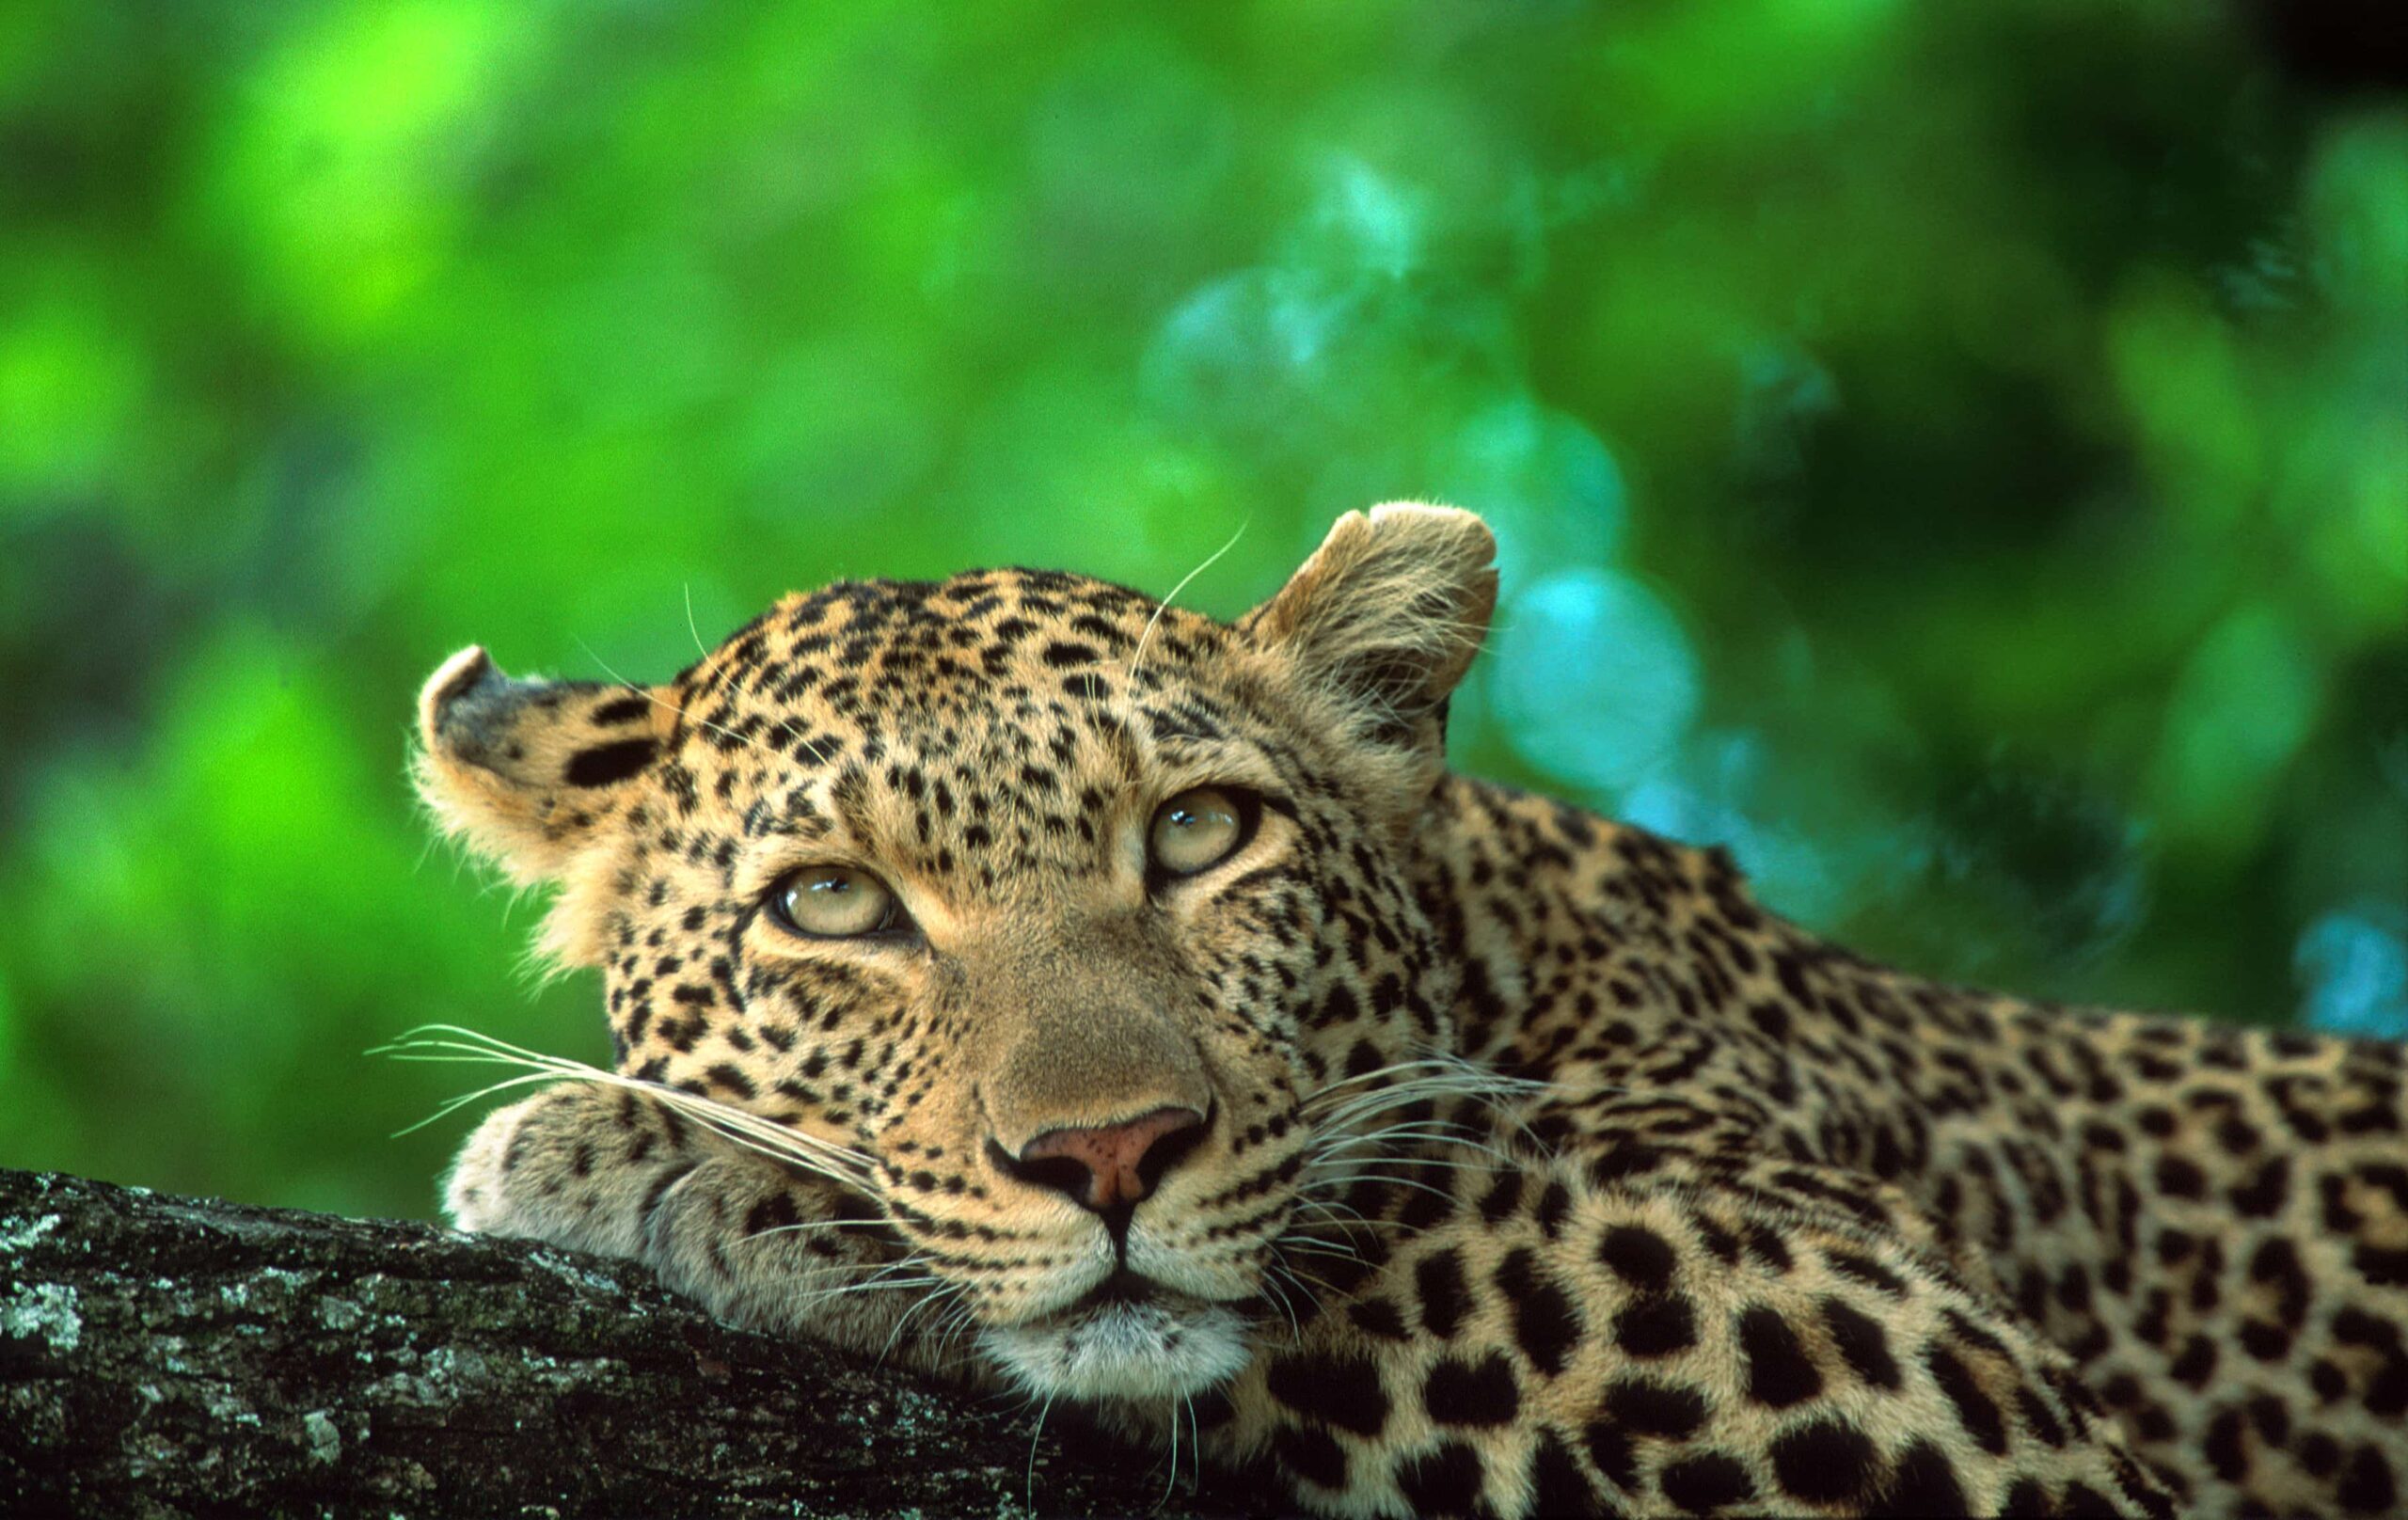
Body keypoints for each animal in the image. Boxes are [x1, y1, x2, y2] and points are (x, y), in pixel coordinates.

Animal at [417, 504, 2408, 1517]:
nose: (1110, 1154)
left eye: (1198, 833)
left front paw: (653, 1158)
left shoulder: (1925, 1362)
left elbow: (1392, 1225)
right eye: (831, 903)